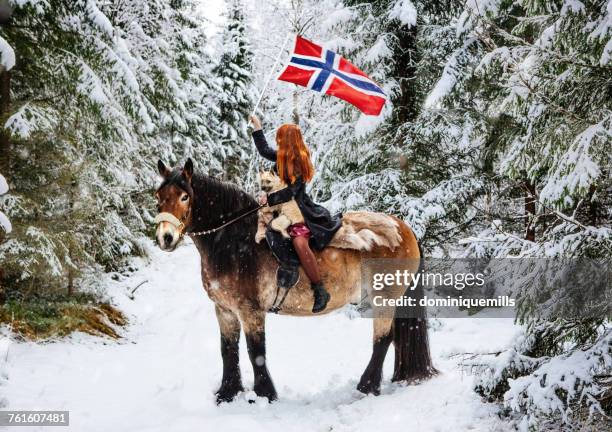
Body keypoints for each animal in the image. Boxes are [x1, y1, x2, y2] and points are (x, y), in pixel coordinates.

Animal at [155, 159, 438, 404]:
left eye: (184, 196)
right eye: (158, 197)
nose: (165, 238)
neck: (233, 242)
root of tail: (403, 228)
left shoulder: (250, 311)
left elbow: (255, 352)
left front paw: (264, 395)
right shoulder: (224, 309)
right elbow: (228, 350)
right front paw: (227, 394)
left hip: (385, 298)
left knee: (383, 338)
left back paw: (367, 386)